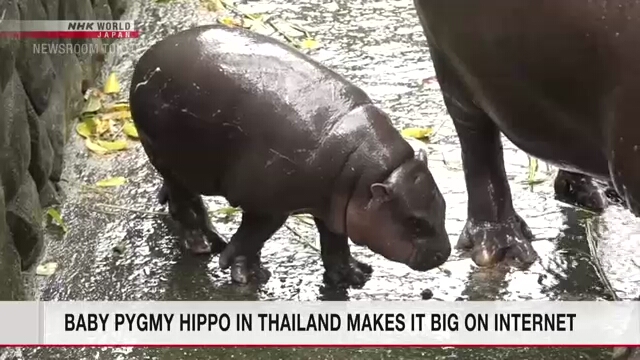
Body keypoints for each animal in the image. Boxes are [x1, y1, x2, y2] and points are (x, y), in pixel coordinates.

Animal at [127, 23, 450, 286]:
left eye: (443, 204)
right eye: (415, 222)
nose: (445, 253)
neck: (365, 173)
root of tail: (146, 57)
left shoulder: (333, 208)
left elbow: (335, 243)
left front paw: (354, 276)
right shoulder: (267, 207)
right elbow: (250, 239)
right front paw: (246, 275)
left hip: (182, 164)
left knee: (182, 196)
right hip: (169, 158)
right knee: (186, 206)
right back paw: (203, 246)